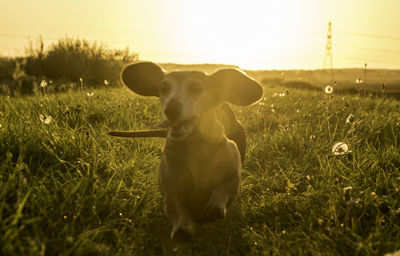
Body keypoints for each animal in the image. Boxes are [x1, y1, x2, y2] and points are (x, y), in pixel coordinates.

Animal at [112, 62, 262, 240]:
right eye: (163, 88)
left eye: (196, 87)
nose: (171, 110)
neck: (196, 147)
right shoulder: (171, 193)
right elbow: (176, 210)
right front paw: (183, 229)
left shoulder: (232, 180)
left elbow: (222, 190)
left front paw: (215, 206)